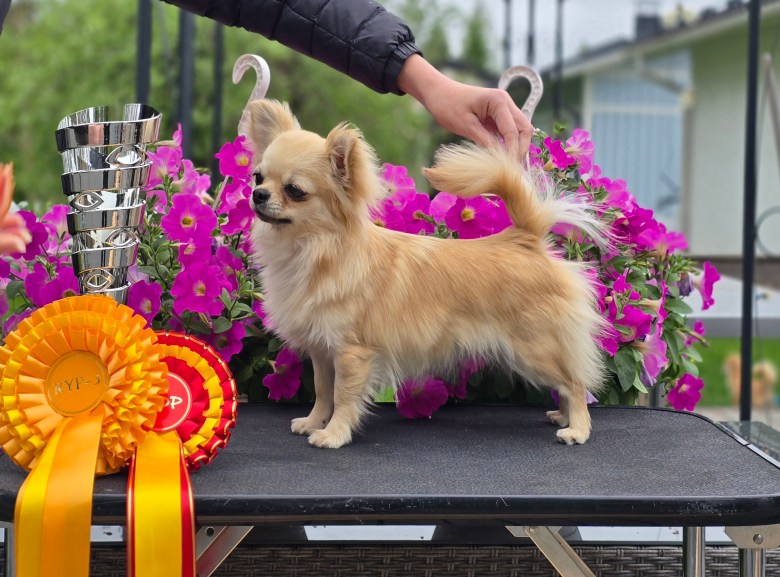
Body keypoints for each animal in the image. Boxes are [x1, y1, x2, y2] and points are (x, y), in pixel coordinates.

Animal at [245, 99, 609, 448]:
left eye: (294, 190)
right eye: (258, 177)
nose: (257, 194)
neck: (314, 250)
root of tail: (524, 238)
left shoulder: (352, 353)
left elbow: (343, 397)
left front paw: (333, 435)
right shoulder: (323, 351)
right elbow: (323, 391)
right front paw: (313, 422)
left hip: (536, 348)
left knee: (575, 384)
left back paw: (577, 429)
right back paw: (563, 417)